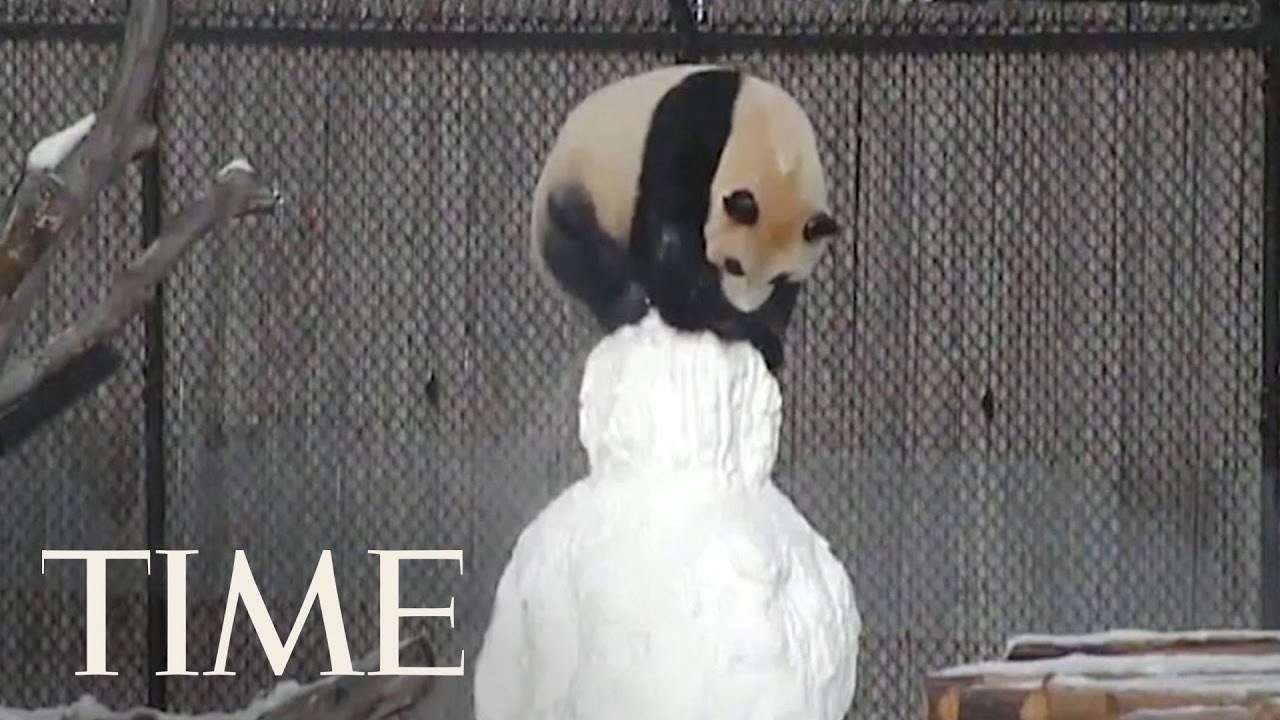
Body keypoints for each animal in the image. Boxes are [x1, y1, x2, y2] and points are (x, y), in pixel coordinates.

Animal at [530, 64, 839, 374]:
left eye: (779, 277)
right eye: (734, 265)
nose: (744, 306)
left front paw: (767, 331)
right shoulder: (689, 131)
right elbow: (669, 243)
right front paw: (733, 323)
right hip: (577, 197)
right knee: (587, 257)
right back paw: (627, 304)